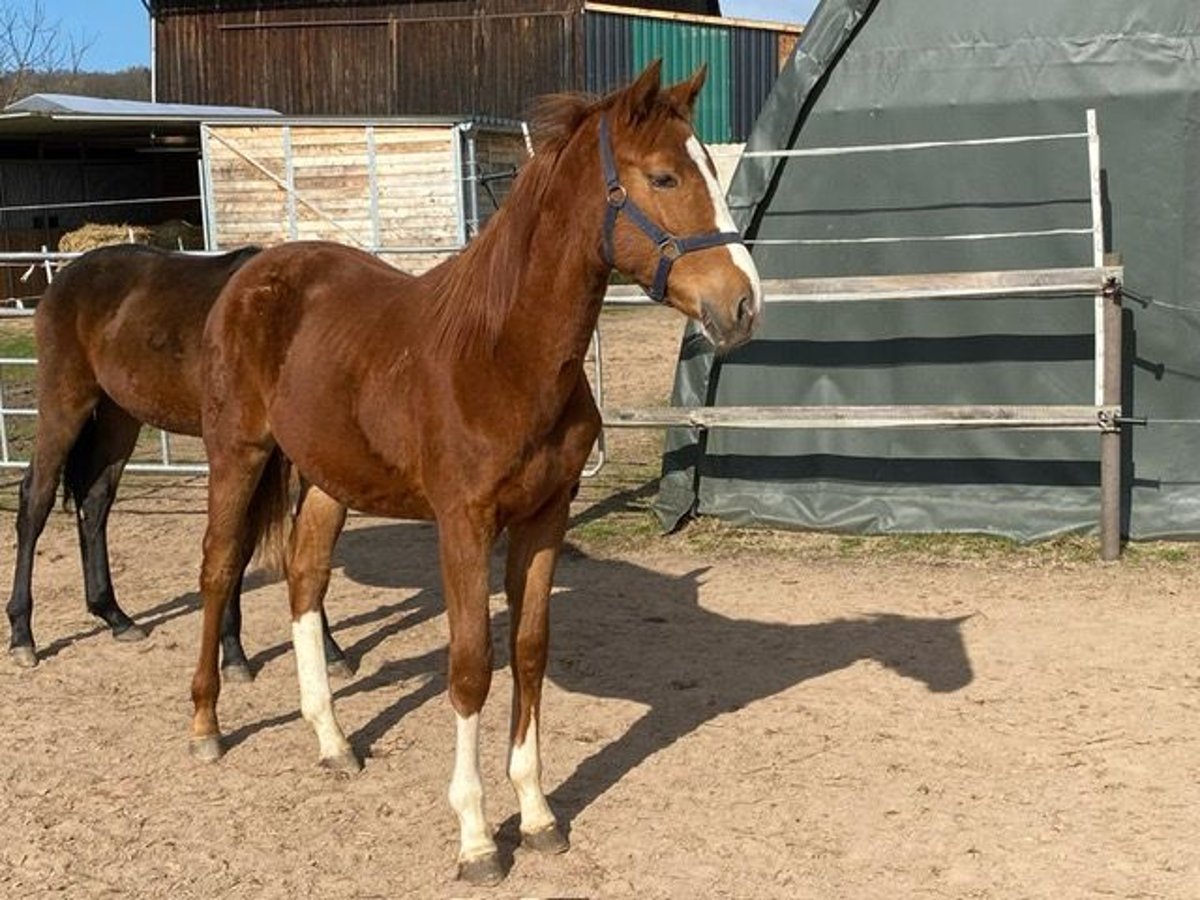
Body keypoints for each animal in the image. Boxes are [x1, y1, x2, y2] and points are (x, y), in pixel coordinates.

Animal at [4, 243, 350, 681]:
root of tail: (66, 276)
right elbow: (235, 542)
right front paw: (233, 654)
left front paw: (328, 650)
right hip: (65, 400)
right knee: (36, 499)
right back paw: (23, 637)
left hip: (120, 416)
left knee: (95, 500)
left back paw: (115, 616)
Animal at [192, 63, 763, 888]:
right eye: (663, 176)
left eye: (711, 172)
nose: (744, 305)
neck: (502, 353)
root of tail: (253, 270)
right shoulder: (463, 524)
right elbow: (470, 667)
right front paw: (475, 838)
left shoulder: (545, 516)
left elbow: (528, 651)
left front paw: (538, 816)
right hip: (235, 452)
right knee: (219, 569)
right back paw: (206, 724)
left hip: (328, 479)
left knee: (305, 578)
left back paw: (332, 742)